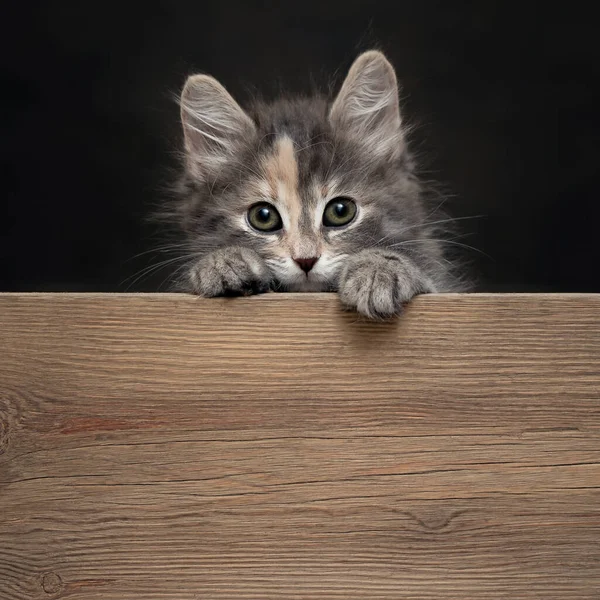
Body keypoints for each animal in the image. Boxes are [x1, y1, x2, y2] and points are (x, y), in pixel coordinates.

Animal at [169, 50, 464, 318]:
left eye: (341, 211)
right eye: (262, 217)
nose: (306, 260)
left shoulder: (443, 287)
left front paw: (380, 268)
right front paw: (222, 261)